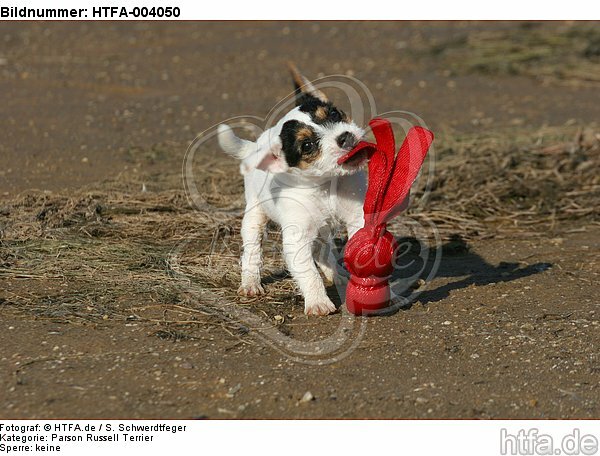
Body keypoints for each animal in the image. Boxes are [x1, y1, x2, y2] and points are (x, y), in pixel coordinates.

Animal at [216, 63, 366, 314]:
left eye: (334, 115)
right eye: (307, 145)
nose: (345, 137)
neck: (326, 185)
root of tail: (256, 147)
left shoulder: (357, 217)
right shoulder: (296, 238)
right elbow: (308, 273)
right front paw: (318, 302)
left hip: (321, 228)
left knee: (322, 250)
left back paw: (335, 274)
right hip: (255, 217)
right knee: (252, 251)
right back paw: (250, 283)